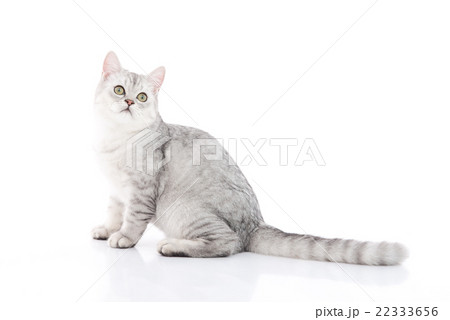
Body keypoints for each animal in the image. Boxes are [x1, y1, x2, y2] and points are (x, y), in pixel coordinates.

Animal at [91, 51, 408, 264]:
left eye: (142, 97)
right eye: (119, 90)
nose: (129, 101)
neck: (115, 139)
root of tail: (255, 224)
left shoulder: (141, 192)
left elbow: (133, 220)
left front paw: (123, 237)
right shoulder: (117, 191)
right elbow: (114, 213)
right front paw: (107, 230)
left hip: (187, 209)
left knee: (228, 244)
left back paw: (173, 246)